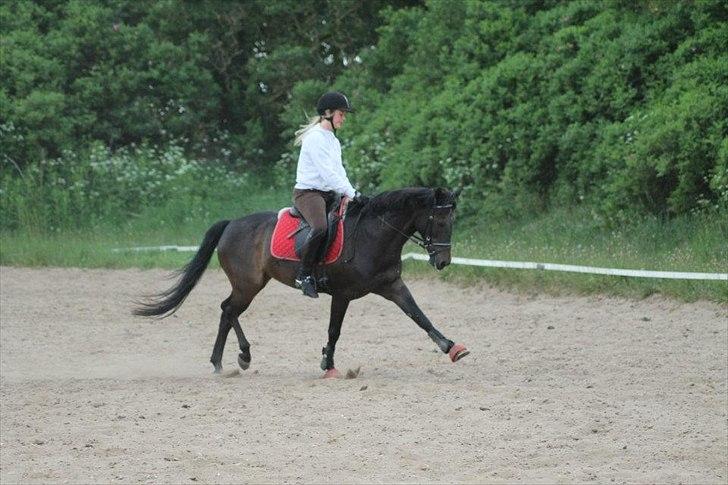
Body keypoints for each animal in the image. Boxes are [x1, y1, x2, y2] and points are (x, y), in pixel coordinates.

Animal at [133, 186, 470, 378]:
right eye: (439, 221)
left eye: (452, 222)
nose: (443, 262)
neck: (372, 235)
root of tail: (231, 224)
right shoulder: (342, 294)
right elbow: (334, 330)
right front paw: (328, 365)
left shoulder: (392, 286)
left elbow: (419, 316)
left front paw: (452, 348)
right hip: (248, 285)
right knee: (228, 309)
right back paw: (236, 358)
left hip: (251, 284)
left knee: (228, 311)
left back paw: (228, 360)